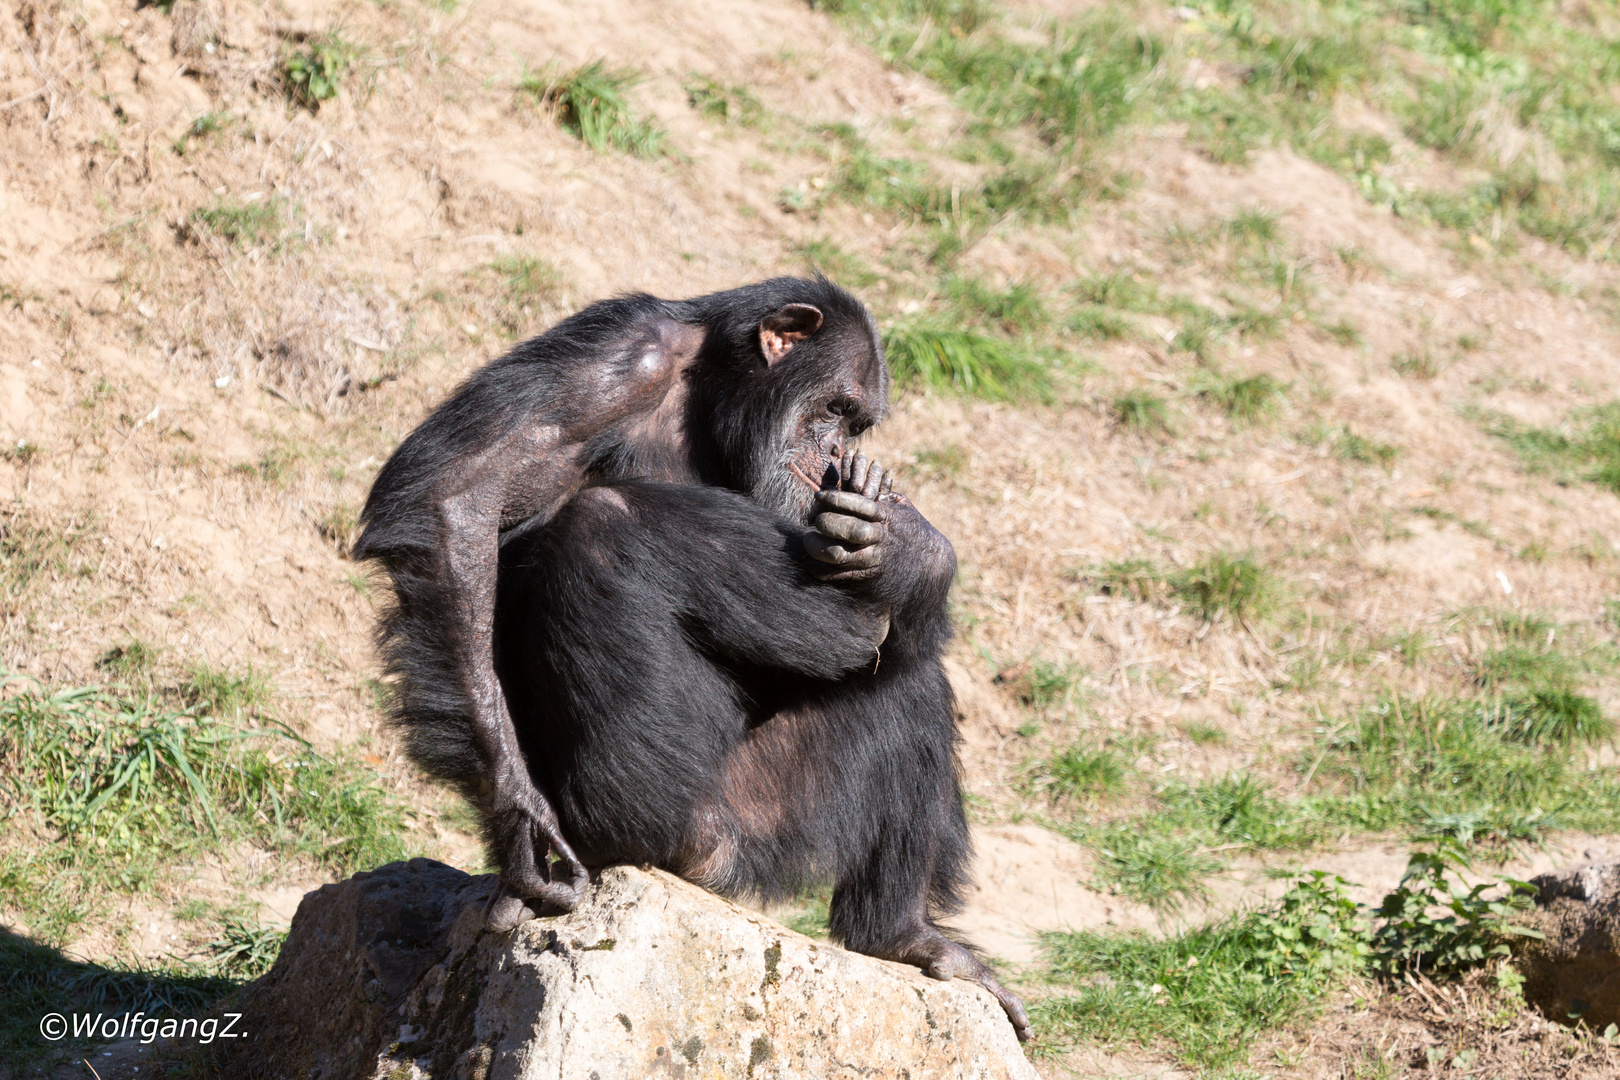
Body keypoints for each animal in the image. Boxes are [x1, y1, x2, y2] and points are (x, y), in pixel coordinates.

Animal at [361, 278, 1030, 1036]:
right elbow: (459, 497)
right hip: (704, 834)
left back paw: (903, 935)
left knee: (908, 688)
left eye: (857, 425)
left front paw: (905, 545)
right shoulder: (615, 361)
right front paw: (521, 821)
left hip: (760, 821)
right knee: (603, 524)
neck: (711, 397)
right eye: (836, 409)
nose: (835, 446)